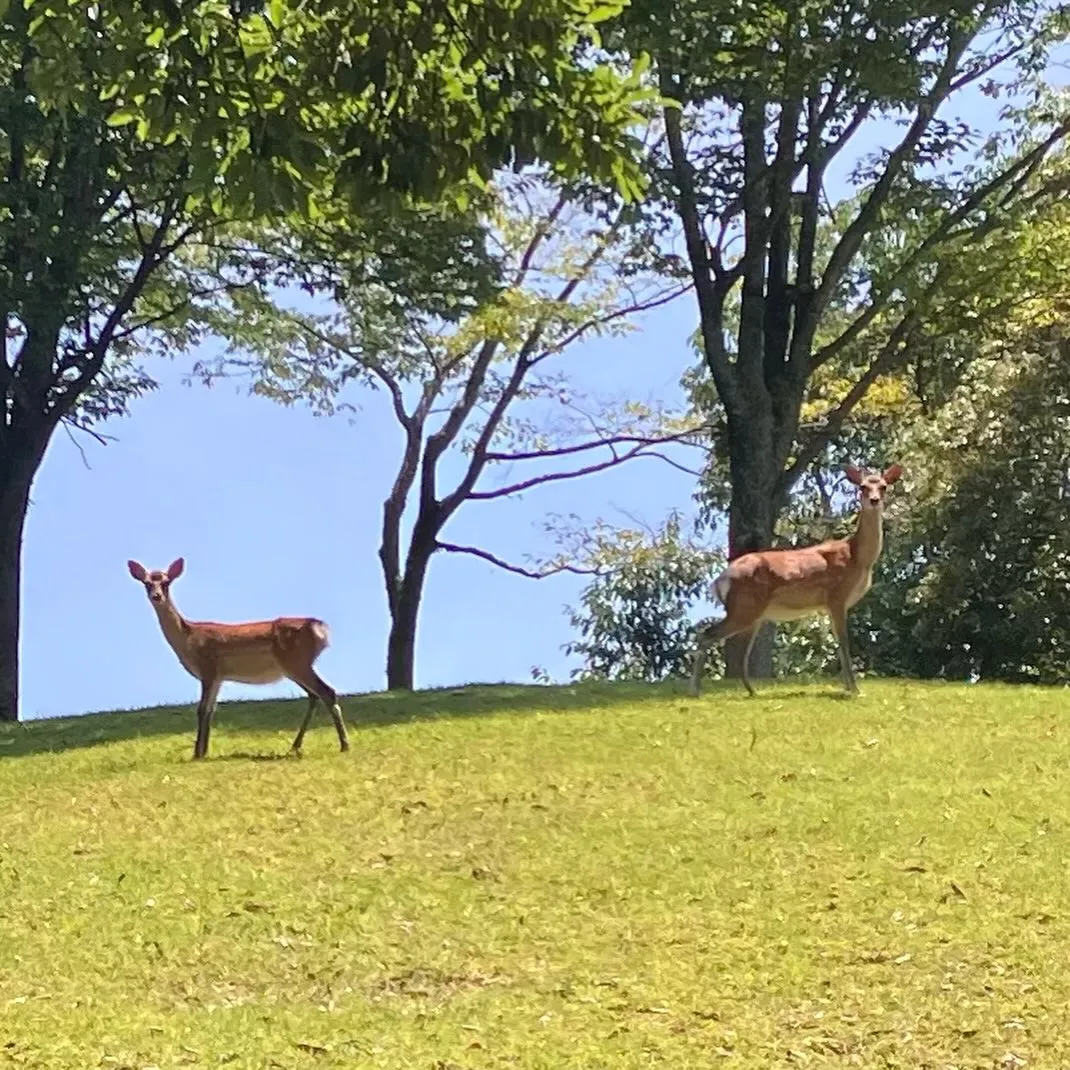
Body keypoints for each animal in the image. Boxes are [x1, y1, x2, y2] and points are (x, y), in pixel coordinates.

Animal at [127, 557, 350, 760]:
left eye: (166, 583)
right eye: (147, 583)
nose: (156, 595)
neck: (188, 639)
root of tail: (320, 628)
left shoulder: (208, 668)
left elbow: (201, 709)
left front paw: (197, 753)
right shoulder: (219, 676)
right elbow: (211, 710)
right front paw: (204, 751)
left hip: (297, 662)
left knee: (327, 692)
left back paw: (344, 745)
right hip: (293, 667)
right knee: (314, 695)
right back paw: (296, 746)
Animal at [689, 464, 903, 698]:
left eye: (883, 486)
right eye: (863, 487)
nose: (874, 500)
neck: (858, 558)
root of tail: (720, 580)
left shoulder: (830, 605)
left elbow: (838, 644)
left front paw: (847, 686)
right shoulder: (836, 595)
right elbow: (844, 642)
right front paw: (854, 689)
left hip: (752, 613)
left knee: (740, 650)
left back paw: (753, 691)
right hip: (744, 607)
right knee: (706, 635)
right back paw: (696, 691)